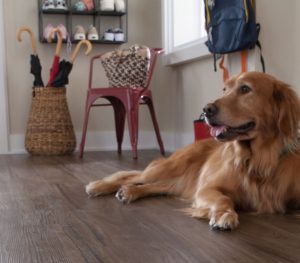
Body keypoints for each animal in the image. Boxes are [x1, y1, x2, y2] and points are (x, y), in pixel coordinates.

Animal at [85, 72, 300, 231]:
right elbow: (224, 198)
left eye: (245, 89)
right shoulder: (206, 189)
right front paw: (224, 214)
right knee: (132, 176)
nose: (206, 109)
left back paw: (130, 192)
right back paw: (99, 186)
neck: (258, 160)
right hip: (171, 167)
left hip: (177, 181)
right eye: (225, 89)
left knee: (155, 186)